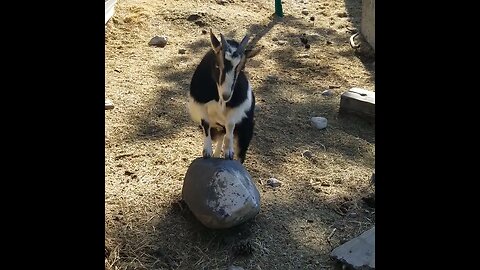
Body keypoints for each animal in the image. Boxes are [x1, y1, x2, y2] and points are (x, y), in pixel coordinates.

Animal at [188, 30, 262, 163]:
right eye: (217, 65)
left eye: (241, 67)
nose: (226, 95)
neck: (219, 99)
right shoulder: (199, 104)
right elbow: (206, 123)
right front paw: (207, 151)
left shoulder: (238, 107)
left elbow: (230, 125)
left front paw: (228, 152)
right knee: (220, 136)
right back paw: (216, 155)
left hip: (245, 130)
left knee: (239, 152)